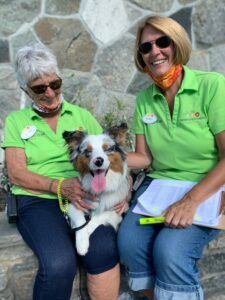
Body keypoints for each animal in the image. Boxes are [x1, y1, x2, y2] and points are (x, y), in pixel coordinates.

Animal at [63, 123, 130, 255]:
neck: (100, 193)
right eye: (88, 151)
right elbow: (80, 221)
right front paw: (82, 243)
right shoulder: (75, 203)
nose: (98, 160)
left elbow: (98, 216)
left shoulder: (117, 211)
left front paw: (88, 229)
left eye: (107, 149)